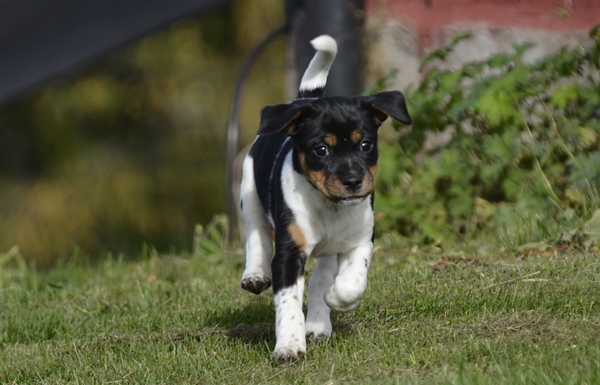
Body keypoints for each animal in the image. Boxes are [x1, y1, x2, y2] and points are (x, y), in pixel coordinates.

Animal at [239, 35, 412, 360]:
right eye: (322, 150)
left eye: (366, 145)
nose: (353, 181)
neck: (329, 207)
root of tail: (300, 101)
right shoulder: (288, 255)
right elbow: (288, 302)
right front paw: (289, 345)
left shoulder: (360, 241)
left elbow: (351, 282)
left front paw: (336, 300)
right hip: (249, 191)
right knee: (256, 236)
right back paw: (254, 274)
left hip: (332, 248)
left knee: (321, 276)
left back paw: (319, 323)